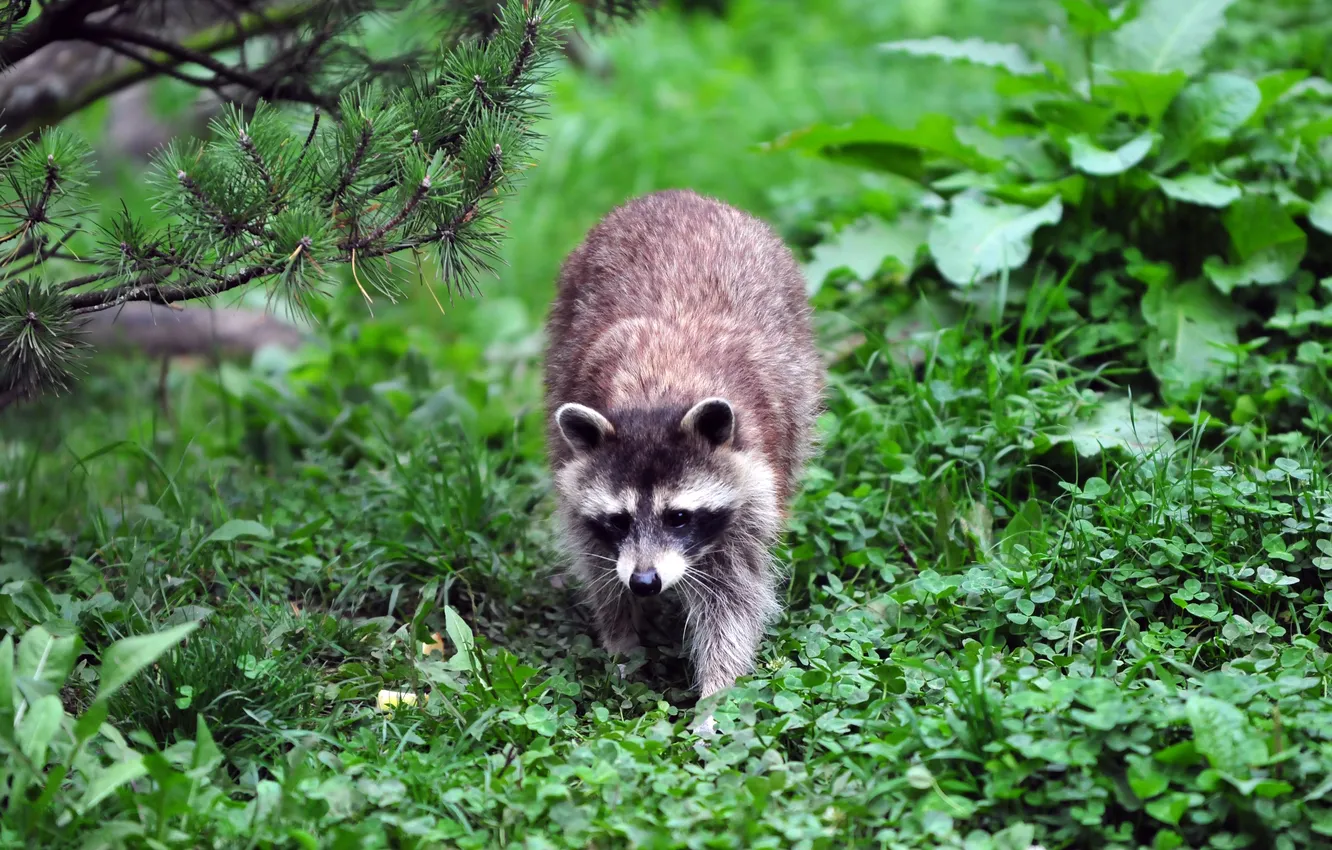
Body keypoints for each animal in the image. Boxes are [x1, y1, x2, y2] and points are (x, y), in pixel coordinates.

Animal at [543, 188, 823, 711]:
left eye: (678, 517)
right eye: (618, 520)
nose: (644, 582)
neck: (656, 398)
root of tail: (674, 195)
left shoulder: (752, 489)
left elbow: (733, 598)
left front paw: (717, 693)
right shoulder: (575, 481)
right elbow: (599, 569)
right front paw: (622, 642)